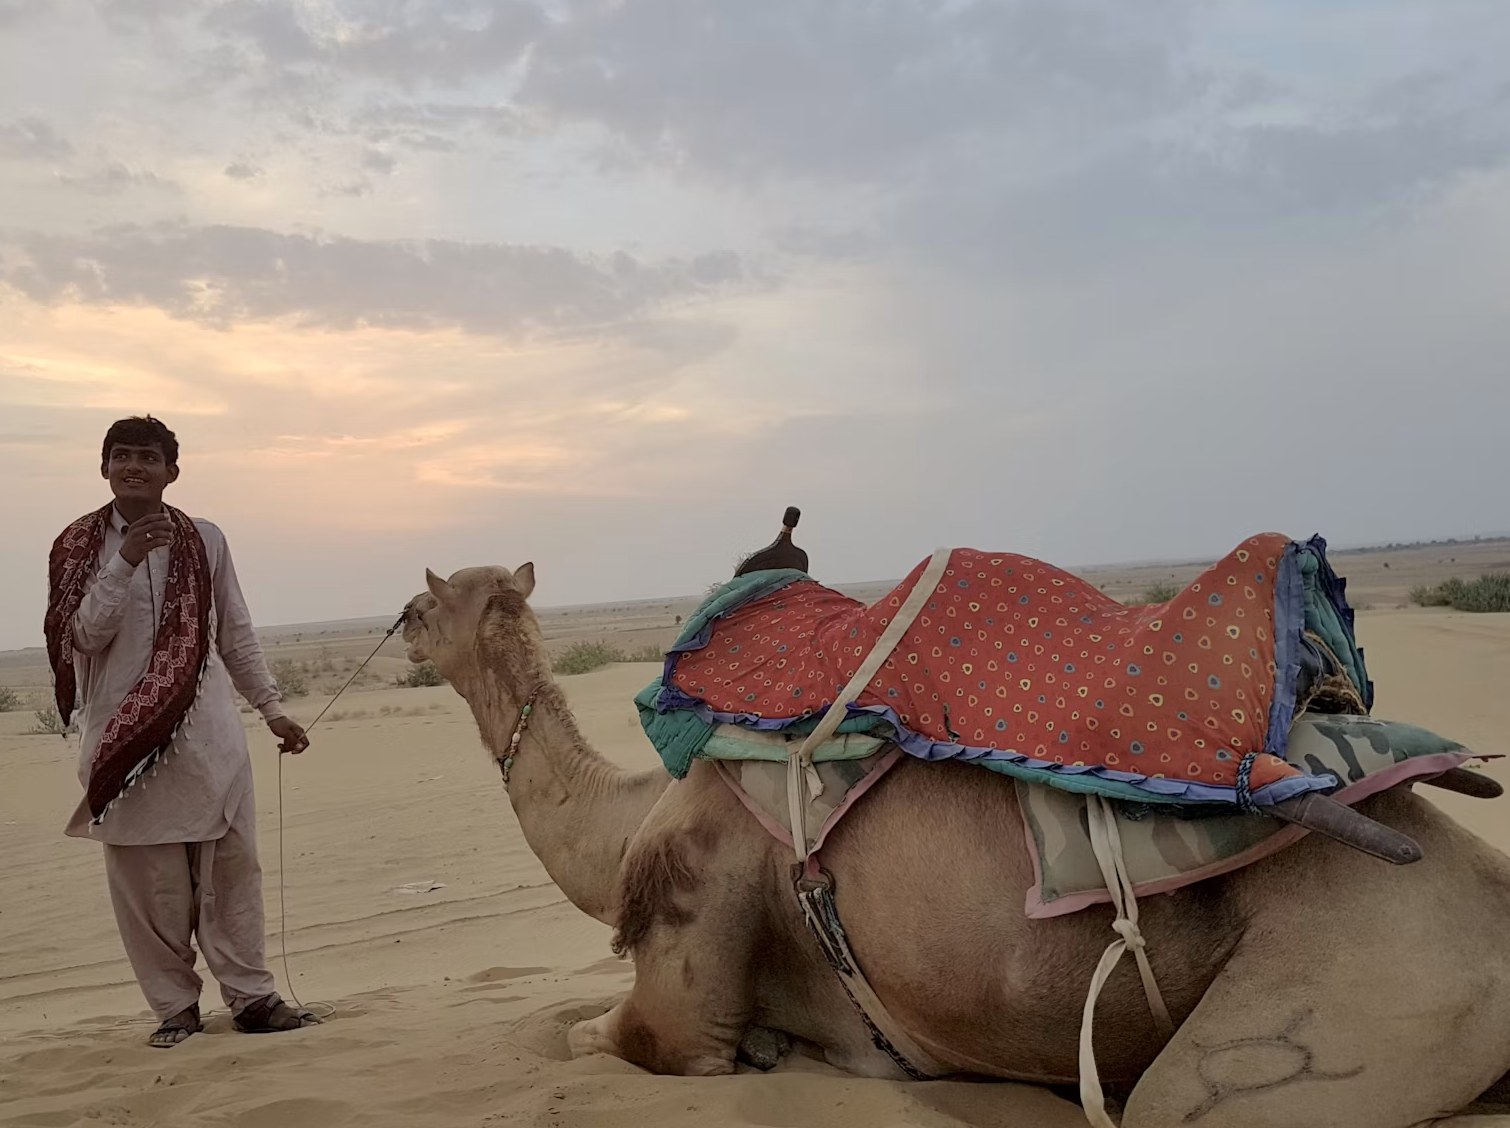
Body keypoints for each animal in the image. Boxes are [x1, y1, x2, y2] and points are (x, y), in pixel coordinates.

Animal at [403, 561, 1510, 1128]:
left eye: (429, 601)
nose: (400, 626)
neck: (636, 811)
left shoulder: (687, 982)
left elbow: (594, 1040)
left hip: (1332, 1019)